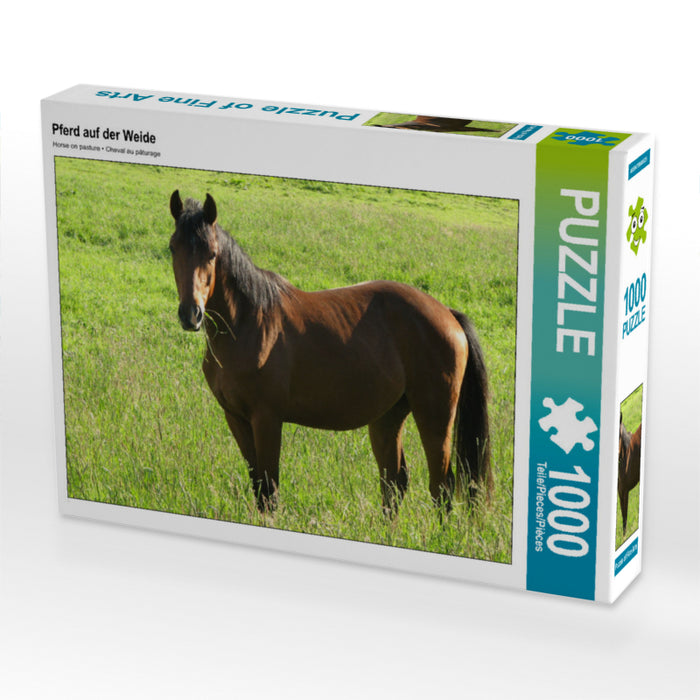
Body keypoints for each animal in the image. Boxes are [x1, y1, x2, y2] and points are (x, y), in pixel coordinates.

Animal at [168, 190, 492, 514]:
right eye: (173, 248)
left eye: (212, 253)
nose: (191, 314)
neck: (249, 323)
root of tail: (448, 314)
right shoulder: (235, 418)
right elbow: (259, 489)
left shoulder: (267, 419)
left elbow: (270, 492)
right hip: (388, 416)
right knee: (394, 484)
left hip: (435, 417)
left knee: (441, 487)